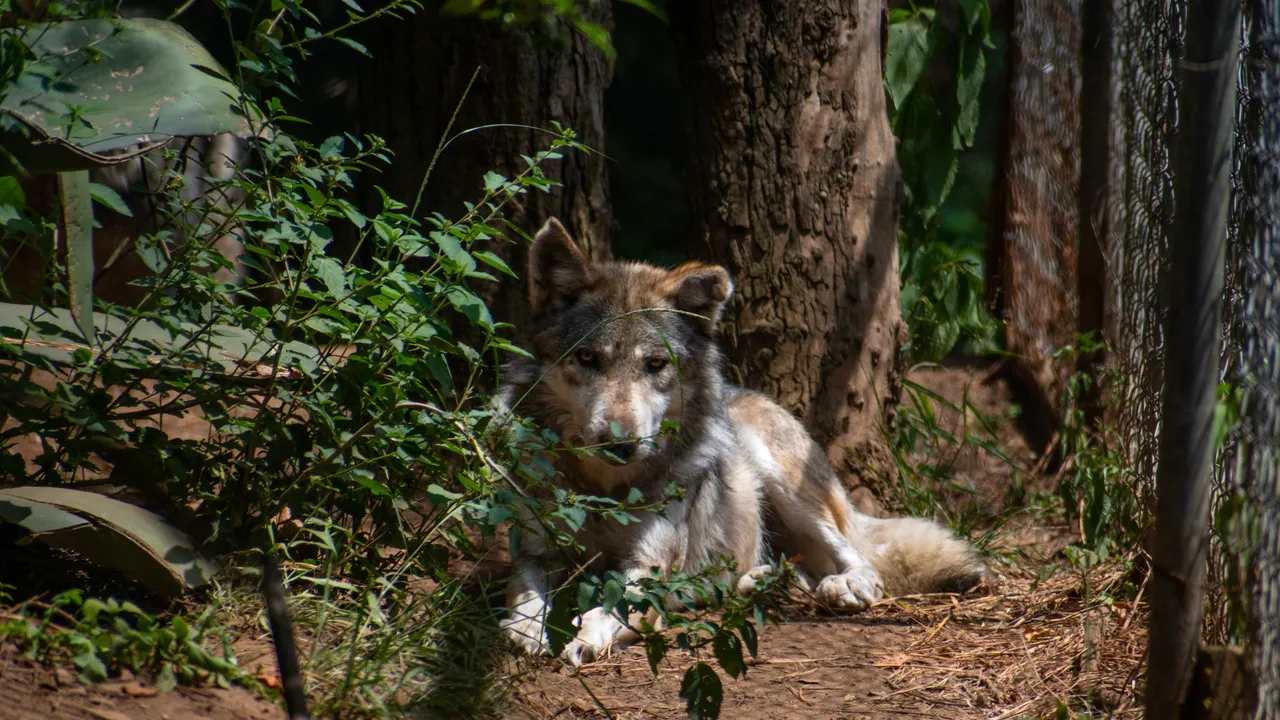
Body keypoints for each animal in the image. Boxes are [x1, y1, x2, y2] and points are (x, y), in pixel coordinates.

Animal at [494, 217, 988, 667]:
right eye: (586, 358)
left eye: (655, 365)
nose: (620, 445)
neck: (602, 490)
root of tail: (748, 394)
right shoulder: (534, 552)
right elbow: (523, 598)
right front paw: (526, 632)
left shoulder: (645, 573)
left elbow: (606, 609)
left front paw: (582, 638)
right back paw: (765, 582)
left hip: (783, 482)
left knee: (862, 559)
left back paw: (846, 585)